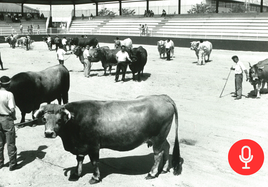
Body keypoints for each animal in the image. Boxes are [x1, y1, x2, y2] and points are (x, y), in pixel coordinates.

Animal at [33, 95, 183, 184]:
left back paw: (152, 173)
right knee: (166, 147)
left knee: (158, 154)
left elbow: (94, 162)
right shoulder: (80, 146)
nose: (49, 133)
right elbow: (79, 159)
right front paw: (76, 174)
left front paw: (95, 178)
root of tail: (162, 97)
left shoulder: (93, 145)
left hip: (158, 138)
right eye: (44, 119)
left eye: (59, 120)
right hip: (161, 137)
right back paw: (164, 168)